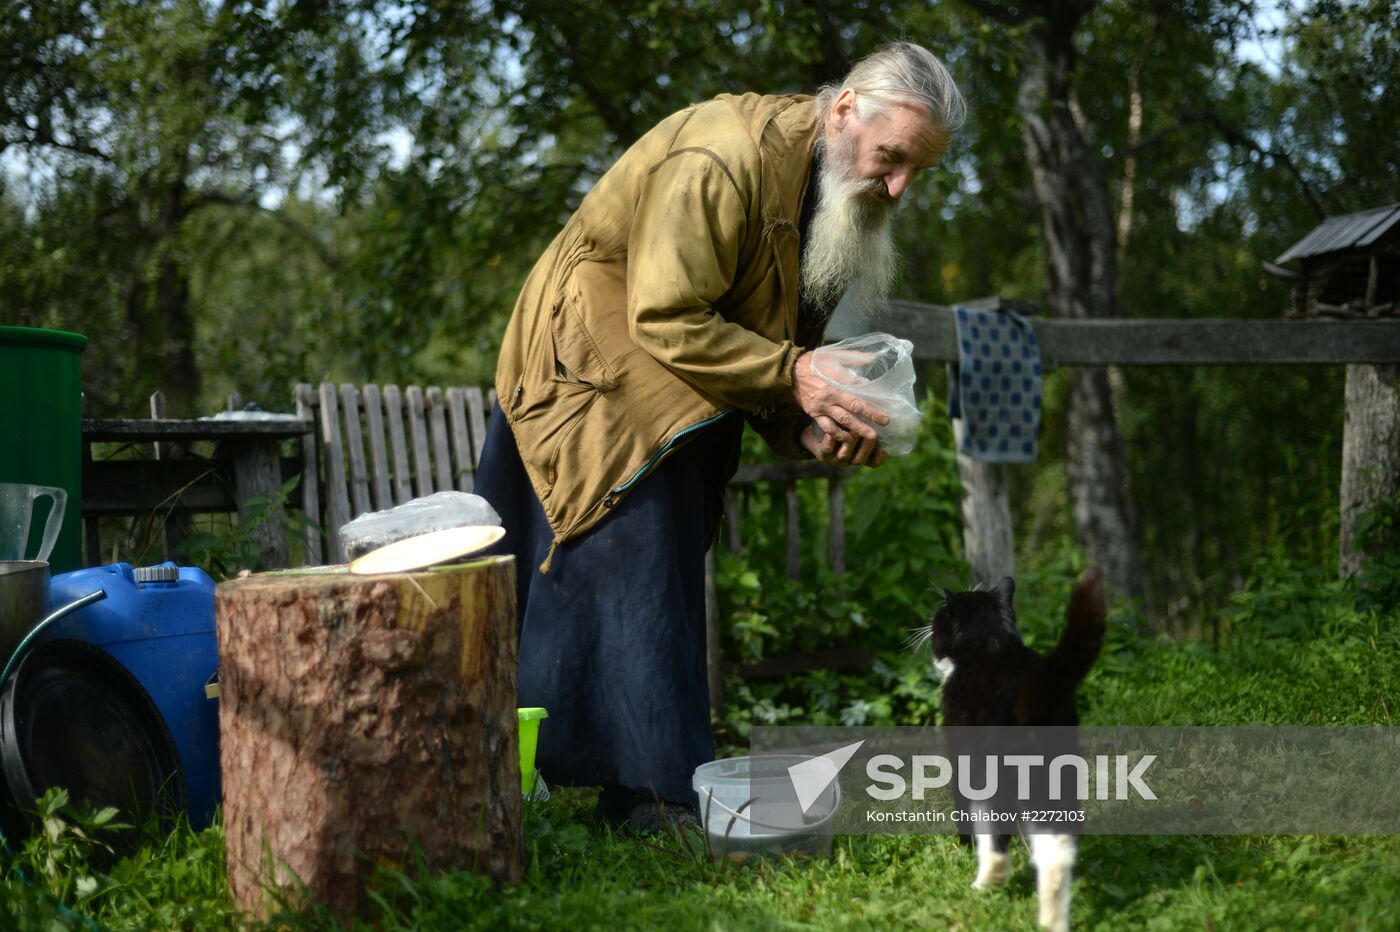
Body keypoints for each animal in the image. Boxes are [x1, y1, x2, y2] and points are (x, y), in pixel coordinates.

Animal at [918, 562, 1103, 929]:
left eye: (940, 615)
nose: (927, 626)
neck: (992, 647)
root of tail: (1036, 692)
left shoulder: (958, 752)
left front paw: (962, 846)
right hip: (1057, 781)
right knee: (1058, 852)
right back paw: (1051, 920)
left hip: (991, 778)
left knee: (997, 844)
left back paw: (983, 885)